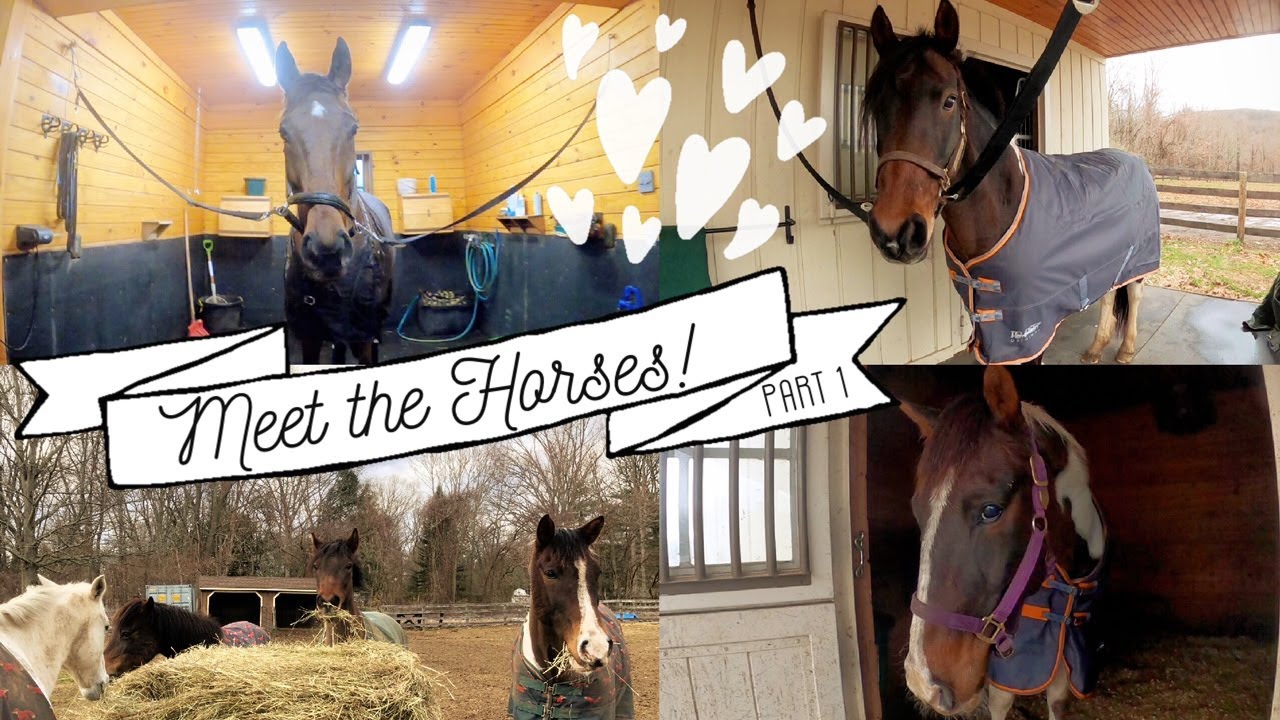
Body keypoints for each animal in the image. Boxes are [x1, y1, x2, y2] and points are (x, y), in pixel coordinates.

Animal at [863, 0, 1161, 365]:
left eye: (949, 100)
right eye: (876, 104)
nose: (896, 230)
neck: (1004, 204)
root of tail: (1135, 160)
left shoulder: (1030, 327)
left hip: (1137, 257)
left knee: (1133, 292)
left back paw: (1126, 349)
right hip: (1106, 263)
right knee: (1108, 295)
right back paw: (1095, 348)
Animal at [899, 366, 1107, 719]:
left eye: (991, 510)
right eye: (918, 511)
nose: (923, 682)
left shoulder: (1066, 645)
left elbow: (1057, 697)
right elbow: (1000, 701)